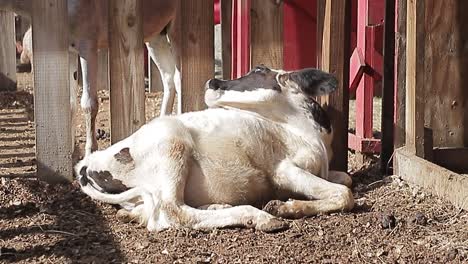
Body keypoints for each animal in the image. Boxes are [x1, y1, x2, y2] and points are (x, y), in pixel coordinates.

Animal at [74, 66, 354, 233]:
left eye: (258, 70)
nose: (213, 80)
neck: (307, 133)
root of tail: (86, 164)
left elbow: (346, 179)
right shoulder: (282, 169)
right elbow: (345, 193)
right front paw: (287, 207)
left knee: (151, 211)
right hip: (171, 141)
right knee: (171, 212)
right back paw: (259, 216)